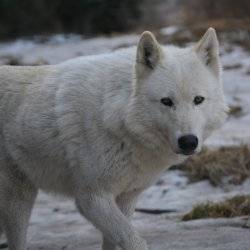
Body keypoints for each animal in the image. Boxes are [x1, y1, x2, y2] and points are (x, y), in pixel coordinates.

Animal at [0, 27, 227, 250]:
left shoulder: (126, 197)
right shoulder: (91, 198)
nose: (188, 141)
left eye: (198, 100)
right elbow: (134, 241)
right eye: (166, 101)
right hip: (17, 199)